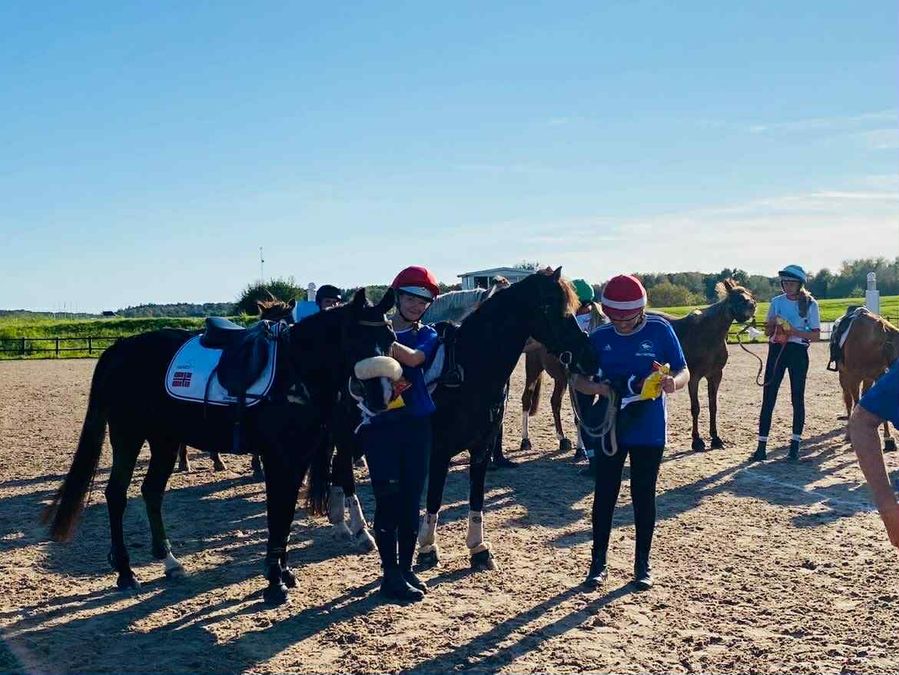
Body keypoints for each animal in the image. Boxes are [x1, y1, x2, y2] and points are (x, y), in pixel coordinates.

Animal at [42, 289, 397, 605]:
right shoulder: (279, 458)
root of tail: (121, 347)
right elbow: (277, 513)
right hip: (128, 435)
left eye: (390, 337)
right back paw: (126, 573)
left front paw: (285, 572)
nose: (381, 396)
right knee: (117, 495)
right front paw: (274, 583)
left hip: (165, 440)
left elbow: (285, 514)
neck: (295, 373)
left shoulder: (300, 458)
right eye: (354, 338)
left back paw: (170, 561)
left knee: (151, 492)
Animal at [519, 302, 605, 455]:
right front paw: (580, 449)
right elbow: (579, 416)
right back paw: (525, 440)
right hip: (534, 368)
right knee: (527, 399)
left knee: (555, 402)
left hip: (561, 379)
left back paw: (562, 439)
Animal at [653, 279, 757, 451]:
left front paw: (716, 438)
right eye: (738, 298)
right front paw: (697, 441)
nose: (753, 306)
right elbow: (696, 408)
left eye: (749, 295)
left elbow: (713, 406)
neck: (708, 334)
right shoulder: (693, 378)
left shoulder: (715, 376)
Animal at [830, 308, 898, 451]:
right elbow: (855, 403)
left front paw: (888, 438)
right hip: (844, 378)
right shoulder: (854, 379)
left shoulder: (879, 375)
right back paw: (848, 435)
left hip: (867, 379)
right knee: (849, 402)